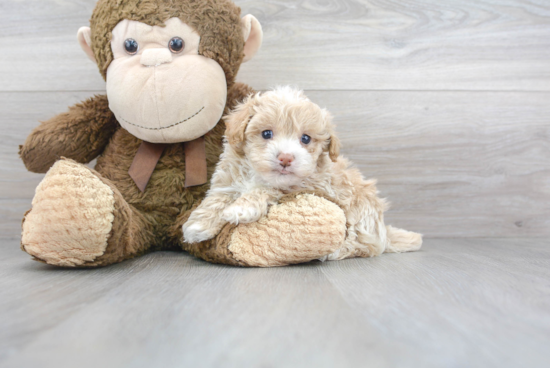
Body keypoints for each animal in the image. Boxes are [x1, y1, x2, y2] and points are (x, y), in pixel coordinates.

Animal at [183, 86, 424, 260]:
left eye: (305, 139)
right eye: (266, 133)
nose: (286, 158)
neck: (256, 174)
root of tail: (384, 230)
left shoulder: (307, 185)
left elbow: (265, 189)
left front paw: (242, 207)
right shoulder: (228, 181)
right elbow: (217, 198)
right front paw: (197, 225)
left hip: (362, 218)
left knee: (364, 245)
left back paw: (337, 251)